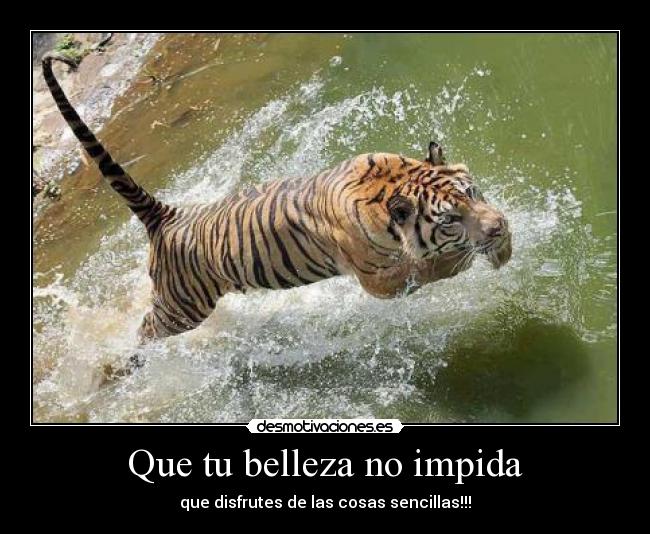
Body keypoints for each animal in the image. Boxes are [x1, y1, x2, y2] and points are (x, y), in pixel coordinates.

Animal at [42, 53, 512, 351]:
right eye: (450, 219)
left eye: (472, 192)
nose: (498, 228)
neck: (390, 186)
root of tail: (168, 215)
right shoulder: (382, 281)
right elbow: (434, 269)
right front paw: (469, 257)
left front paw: (503, 246)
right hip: (180, 309)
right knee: (143, 331)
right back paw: (117, 367)